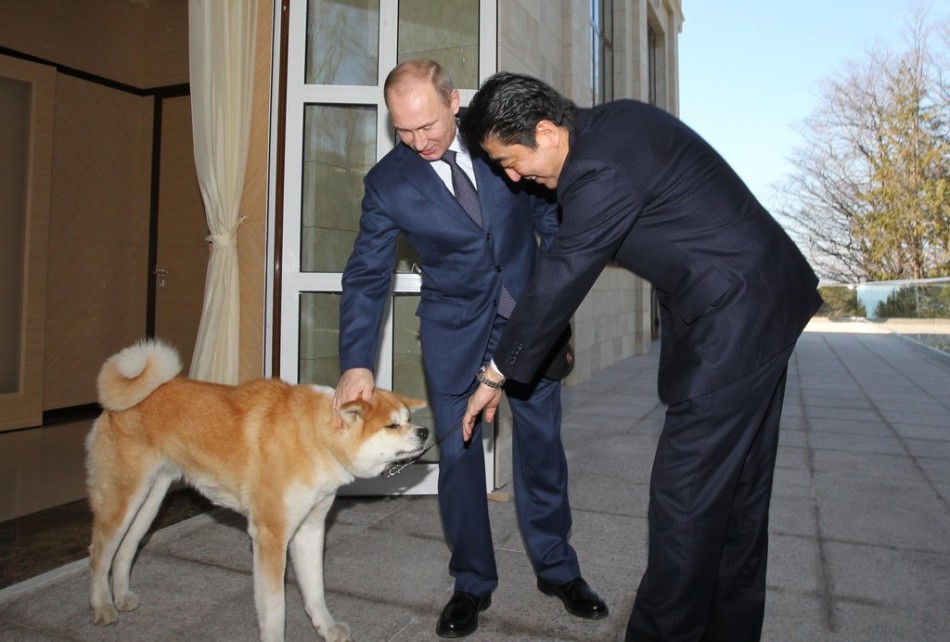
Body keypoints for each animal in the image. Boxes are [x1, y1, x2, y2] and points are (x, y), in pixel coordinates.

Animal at [87, 338, 430, 636]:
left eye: (408, 418)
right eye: (392, 425)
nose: (425, 431)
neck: (314, 437)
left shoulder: (310, 528)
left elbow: (315, 592)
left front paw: (328, 630)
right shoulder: (270, 535)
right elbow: (275, 610)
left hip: (150, 499)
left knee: (126, 548)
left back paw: (122, 597)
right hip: (123, 498)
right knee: (100, 553)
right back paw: (102, 606)